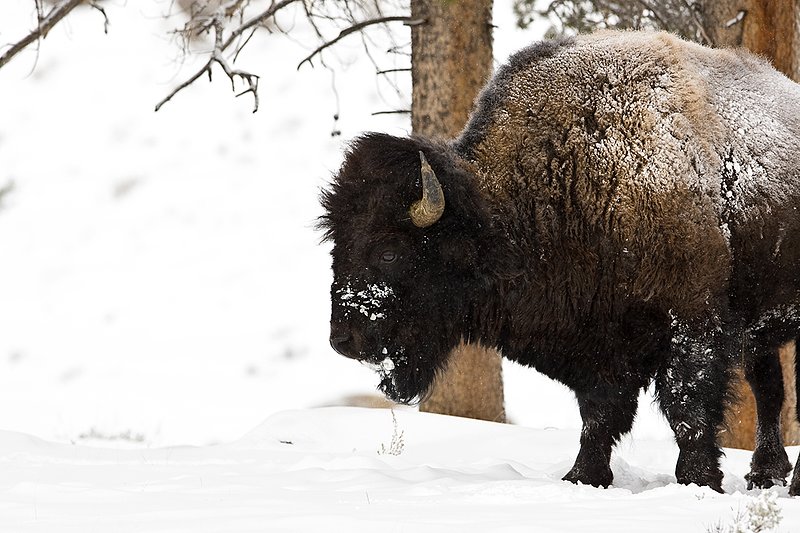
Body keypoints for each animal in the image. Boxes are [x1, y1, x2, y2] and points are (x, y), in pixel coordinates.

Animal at [319, 30, 800, 493]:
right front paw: (584, 477)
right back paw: (766, 475)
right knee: (770, 388)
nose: (343, 339)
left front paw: (697, 481)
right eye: (336, 244)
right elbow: (600, 413)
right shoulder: (599, 342)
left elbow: (688, 407)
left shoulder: (693, 324)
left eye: (389, 251)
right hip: (759, 333)